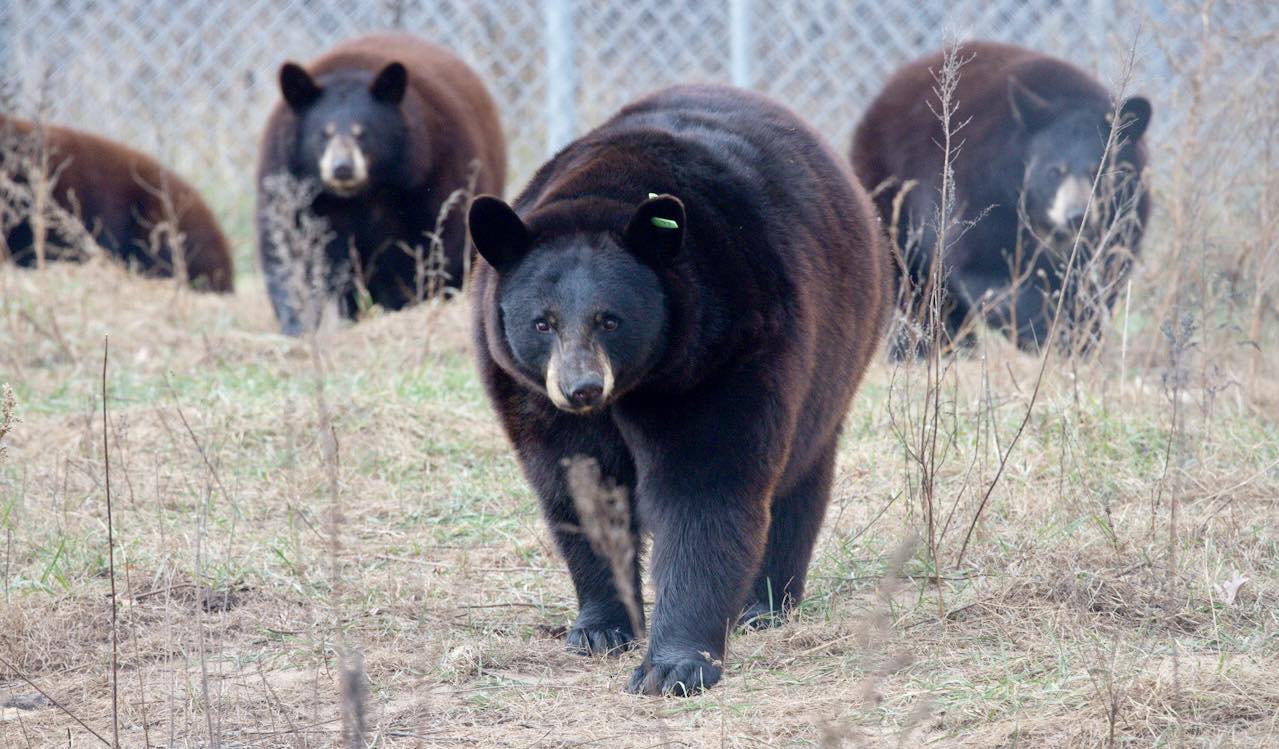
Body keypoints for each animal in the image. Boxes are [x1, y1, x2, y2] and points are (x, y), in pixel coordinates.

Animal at [256, 32, 506, 335]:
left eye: (362, 132)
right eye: (324, 133)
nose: (342, 168)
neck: (358, 196)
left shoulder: (430, 178)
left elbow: (433, 245)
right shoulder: (290, 185)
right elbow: (290, 249)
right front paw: (300, 324)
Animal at [468, 84, 891, 696]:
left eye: (610, 319)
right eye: (541, 322)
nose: (581, 388)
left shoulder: (723, 352)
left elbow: (704, 486)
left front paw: (674, 665)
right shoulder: (528, 392)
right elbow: (576, 486)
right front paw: (600, 628)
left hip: (840, 353)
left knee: (801, 475)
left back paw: (766, 604)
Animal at [850, 41, 1152, 354]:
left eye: (1100, 171)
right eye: (1054, 171)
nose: (1077, 216)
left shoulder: (1122, 224)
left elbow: (1100, 284)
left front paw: (1078, 340)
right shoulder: (981, 192)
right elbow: (983, 270)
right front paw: (1046, 333)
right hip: (889, 188)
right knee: (910, 279)